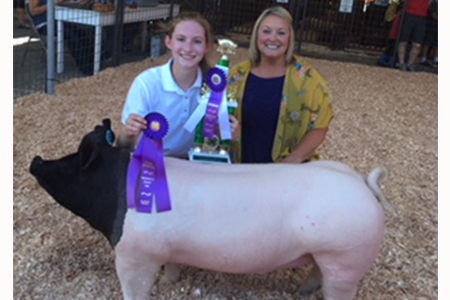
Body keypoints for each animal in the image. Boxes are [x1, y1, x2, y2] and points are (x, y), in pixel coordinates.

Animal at [29, 118, 392, 300]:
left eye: (71, 162)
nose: (36, 160)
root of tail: (363, 184)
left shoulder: (134, 254)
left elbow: (134, 288)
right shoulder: (164, 248)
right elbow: (173, 266)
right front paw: (169, 282)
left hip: (343, 257)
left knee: (338, 288)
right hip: (328, 255)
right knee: (317, 273)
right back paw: (300, 291)